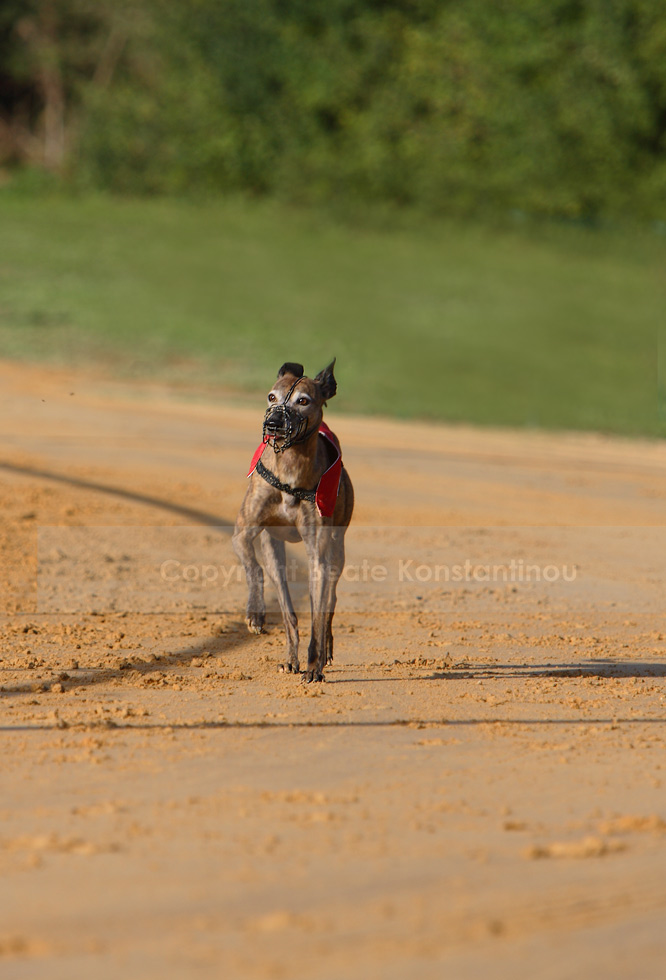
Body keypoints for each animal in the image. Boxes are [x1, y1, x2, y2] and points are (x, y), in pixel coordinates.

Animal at [231, 358, 352, 680]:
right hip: (274, 551)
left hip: (336, 548)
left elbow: (318, 614)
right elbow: (254, 569)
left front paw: (314, 665)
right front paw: (255, 614)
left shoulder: (318, 555)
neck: (290, 469)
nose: (273, 423)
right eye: (271, 397)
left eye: (303, 401)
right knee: (288, 609)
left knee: (329, 602)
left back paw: (322, 653)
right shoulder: (243, 532)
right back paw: (290, 658)